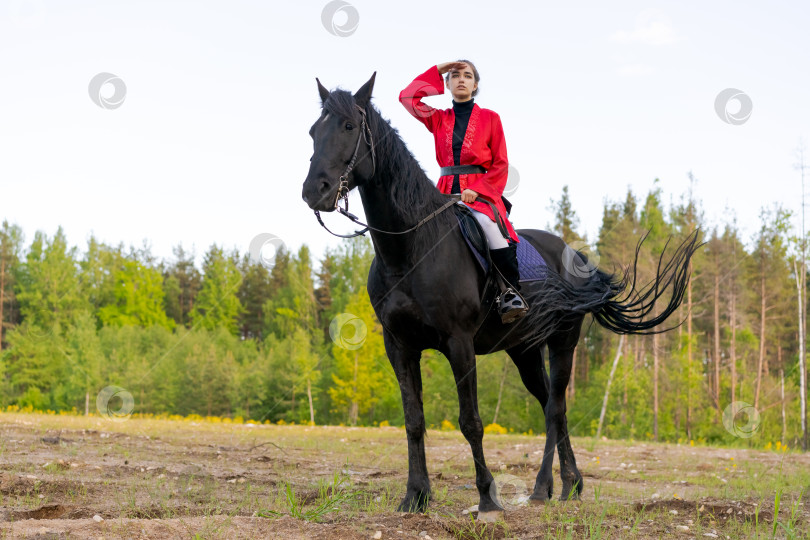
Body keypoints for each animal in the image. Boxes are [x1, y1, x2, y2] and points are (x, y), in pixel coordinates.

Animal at [300, 71, 696, 520]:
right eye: (314, 132)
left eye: (349, 127)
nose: (314, 191)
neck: (413, 248)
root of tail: (574, 255)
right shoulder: (398, 345)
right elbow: (413, 420)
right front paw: (415, 496)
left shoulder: (459, 344)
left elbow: (470, 421)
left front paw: (487, 498)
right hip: (524, 350)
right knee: (549, 406)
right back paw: (566, 484)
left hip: (563, 342)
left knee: (556, 408)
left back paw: (545, 486)